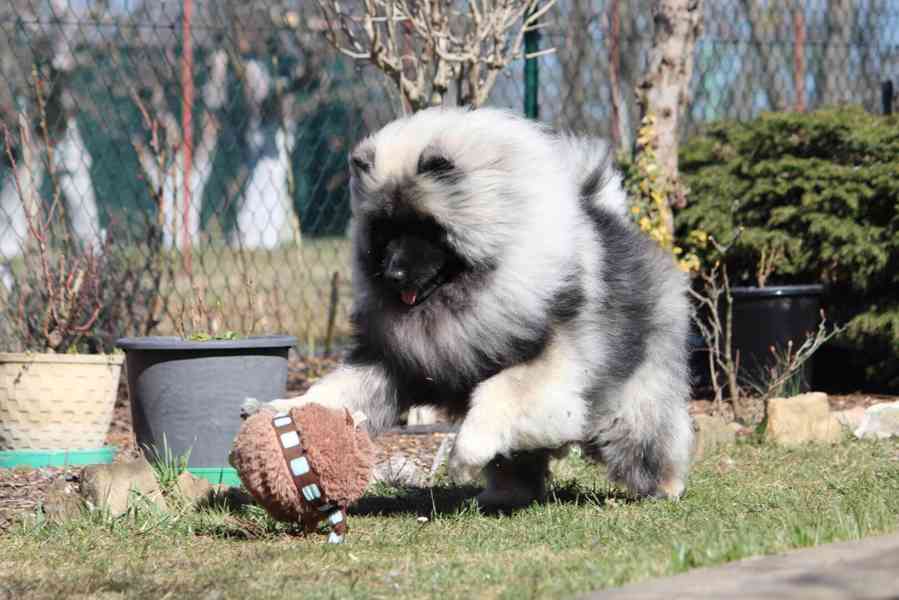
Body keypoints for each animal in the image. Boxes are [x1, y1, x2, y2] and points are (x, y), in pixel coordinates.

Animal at [253, 108, 696, 506]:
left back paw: (665, 488)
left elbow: (495, 394)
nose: (393, 274)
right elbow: (333, 392)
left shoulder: (544, 367)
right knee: (519, 462)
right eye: (384, 231)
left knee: (647, 437)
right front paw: (279, 409)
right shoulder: (392, 361)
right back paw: (503, 496)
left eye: (425, 229)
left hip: (631, 399)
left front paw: (463, 456)